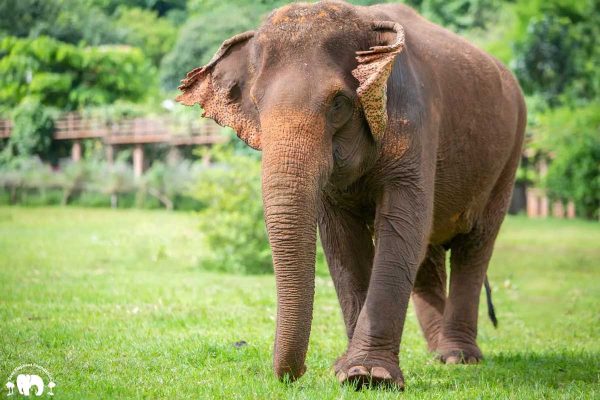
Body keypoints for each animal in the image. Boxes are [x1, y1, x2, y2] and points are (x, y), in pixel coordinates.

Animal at [177, 0, 524, 390]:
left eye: (339, 103)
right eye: (255, 102)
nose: (297, 374)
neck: (365, 19)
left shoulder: (414, 120)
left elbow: (401, 225)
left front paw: (367, 375)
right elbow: (342, 239)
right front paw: (346, 370)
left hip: (508, 158)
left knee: (474, 245)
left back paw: (458, 358)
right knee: (429, 252)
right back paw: (437, 354)